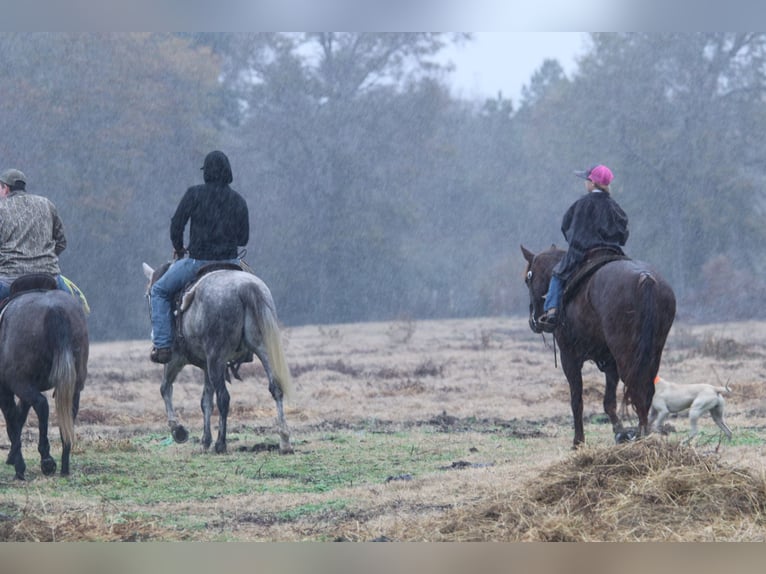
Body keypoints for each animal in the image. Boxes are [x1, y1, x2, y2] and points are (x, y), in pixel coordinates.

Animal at [0, 290, 90, 480]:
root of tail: (54, 308)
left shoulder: (6, 388)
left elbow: (12, 419)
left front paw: (18, 464)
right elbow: (19, 416)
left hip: (19, 382)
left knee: (41, 405)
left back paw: (46, 460)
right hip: (74, 385)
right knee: (68, 413)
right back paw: (64, 464)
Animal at [142, 264, 296, 456]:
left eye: (148, 295)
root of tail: (246, 287)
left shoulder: (176, 358)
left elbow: (165, 388)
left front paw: (178, 430)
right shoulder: (206, 366)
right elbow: (206, 401)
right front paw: (204, 441)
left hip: (216, 358)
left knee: (224, 397)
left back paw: (221, 444)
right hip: (263, 349)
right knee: (276, 388)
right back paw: (285, 441)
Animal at [520, 245, 680, 448]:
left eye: (528, 278)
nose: (534, 321)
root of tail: (645, 279)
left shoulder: (569, 358)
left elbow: (577, 399)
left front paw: (578, 441)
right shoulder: (610, 363)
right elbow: (609, 402)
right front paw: (620, 432)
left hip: (626, 356)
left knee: (637, 389)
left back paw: (641, 436)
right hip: (652, 353)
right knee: (646, 390)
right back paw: (643, 435)